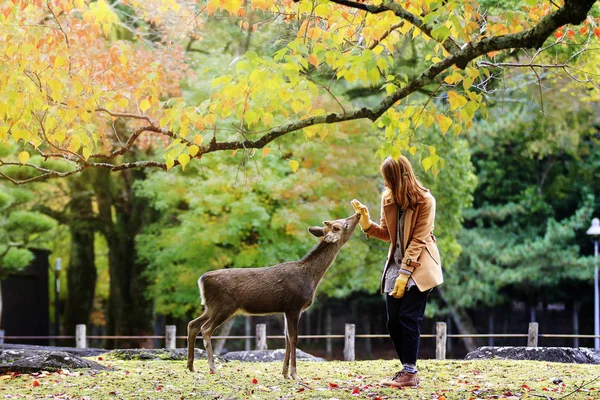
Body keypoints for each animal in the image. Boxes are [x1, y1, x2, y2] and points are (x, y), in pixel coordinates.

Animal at [185, 212, 358, 378]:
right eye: (344, 225)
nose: (357, 215)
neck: (310, 277)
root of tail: (202, 279)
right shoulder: (294, 305)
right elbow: (294, 338)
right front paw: (295, 374)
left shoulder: (286, 309)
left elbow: (286, 338)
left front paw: (285, 373)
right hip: (224, 305)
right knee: (206, 329)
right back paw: (213, 367)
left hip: (210, 307)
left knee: (193, 324)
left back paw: (191, 366)